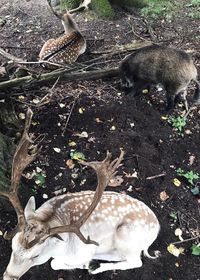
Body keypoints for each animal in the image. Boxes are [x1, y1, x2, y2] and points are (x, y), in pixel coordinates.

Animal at [0, 110, 159, 280]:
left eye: (35, 256)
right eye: (12, 245)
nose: (8, 276)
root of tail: (157, 227)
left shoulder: (81, 252)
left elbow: (54, 263)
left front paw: (83, 264)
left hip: (126, 236)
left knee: (136, 261)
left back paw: (95, 266)